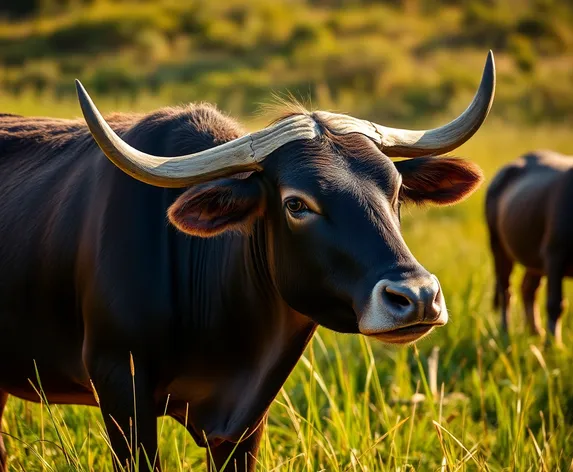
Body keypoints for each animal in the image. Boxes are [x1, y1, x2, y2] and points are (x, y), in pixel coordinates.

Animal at [484, 149, 568, 344]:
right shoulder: (554, 255)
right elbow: (555, 305)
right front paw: (553, 346)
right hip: (498, 246)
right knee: (505, 290)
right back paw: (506, 332)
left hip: (534, 260)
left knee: (528, 288)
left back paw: (535, 332)